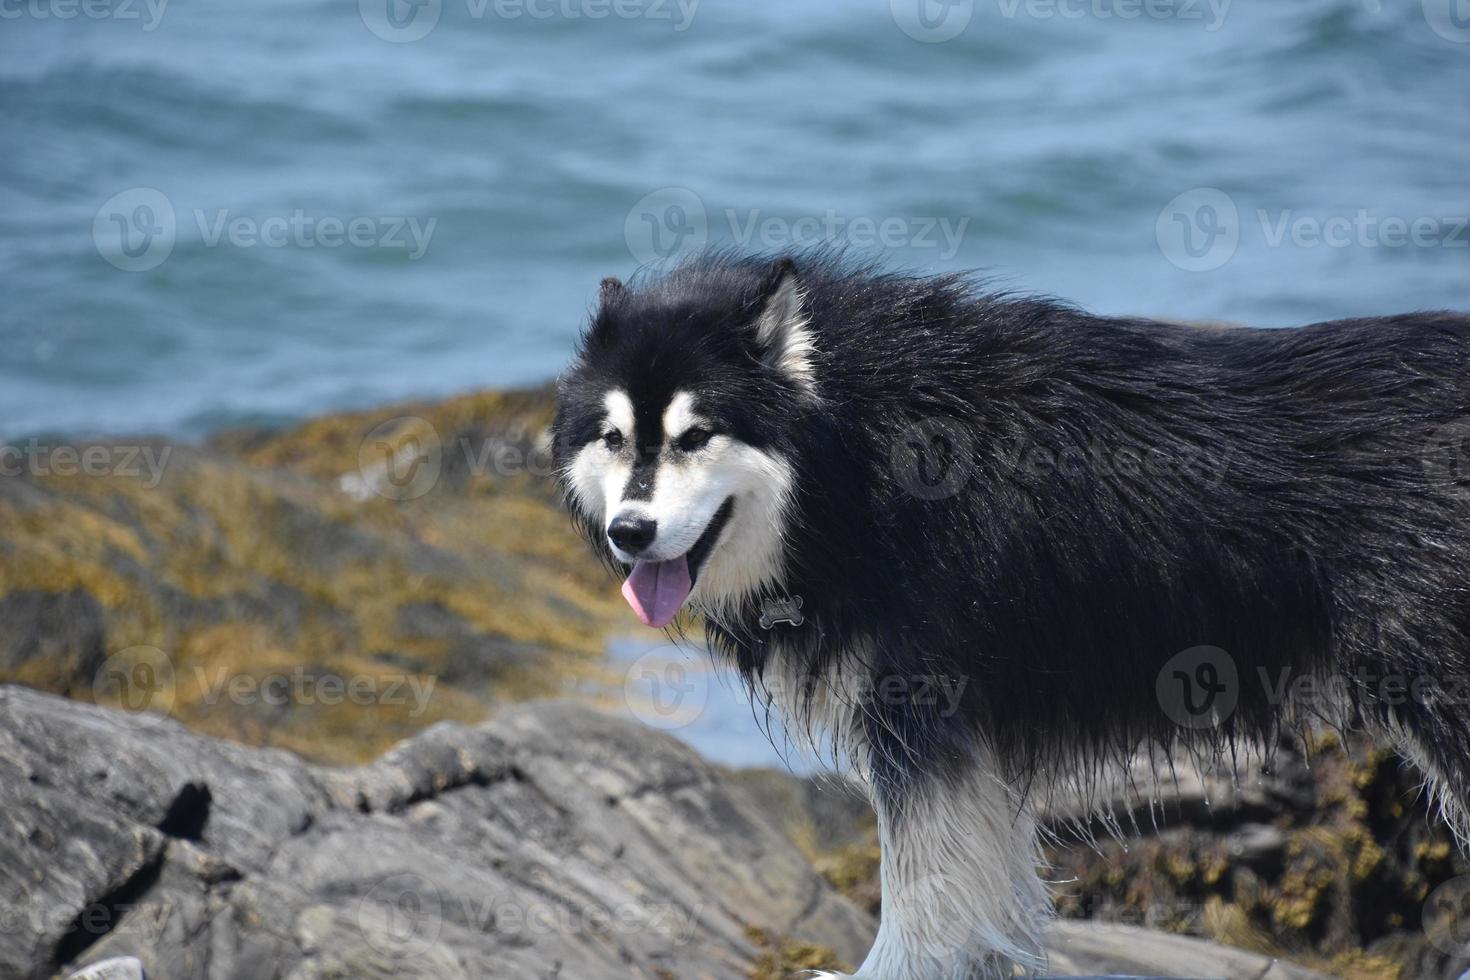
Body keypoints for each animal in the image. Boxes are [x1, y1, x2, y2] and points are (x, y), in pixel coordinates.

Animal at [552, 255, 1470, 980]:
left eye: (695, 435)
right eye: (613, 438)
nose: (629, 533)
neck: (852, 457)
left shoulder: (921, 718)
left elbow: (920, 891)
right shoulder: (964, 740)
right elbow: (978, 886)